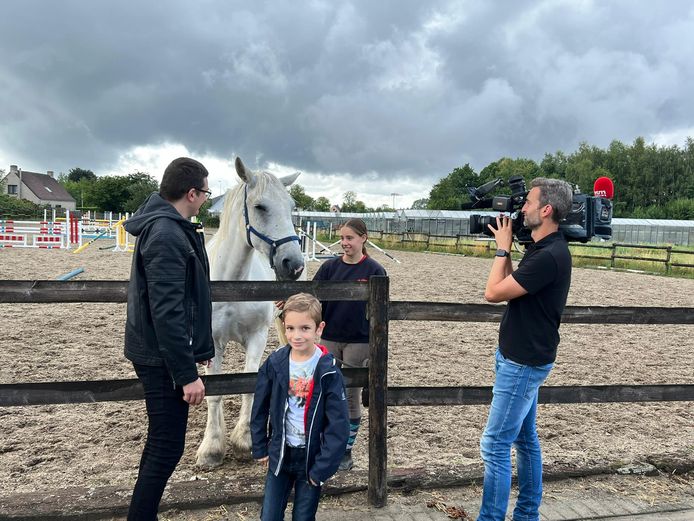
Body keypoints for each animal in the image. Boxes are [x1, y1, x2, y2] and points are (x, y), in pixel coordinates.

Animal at [196, 155, 304, 468]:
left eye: (291, 207)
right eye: (260, 207)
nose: (294, 265)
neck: (234, 285)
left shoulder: (256, 337)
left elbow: (248, 384)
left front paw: (244, 442)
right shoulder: (213, 344)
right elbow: (214, 394)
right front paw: (212, 448)